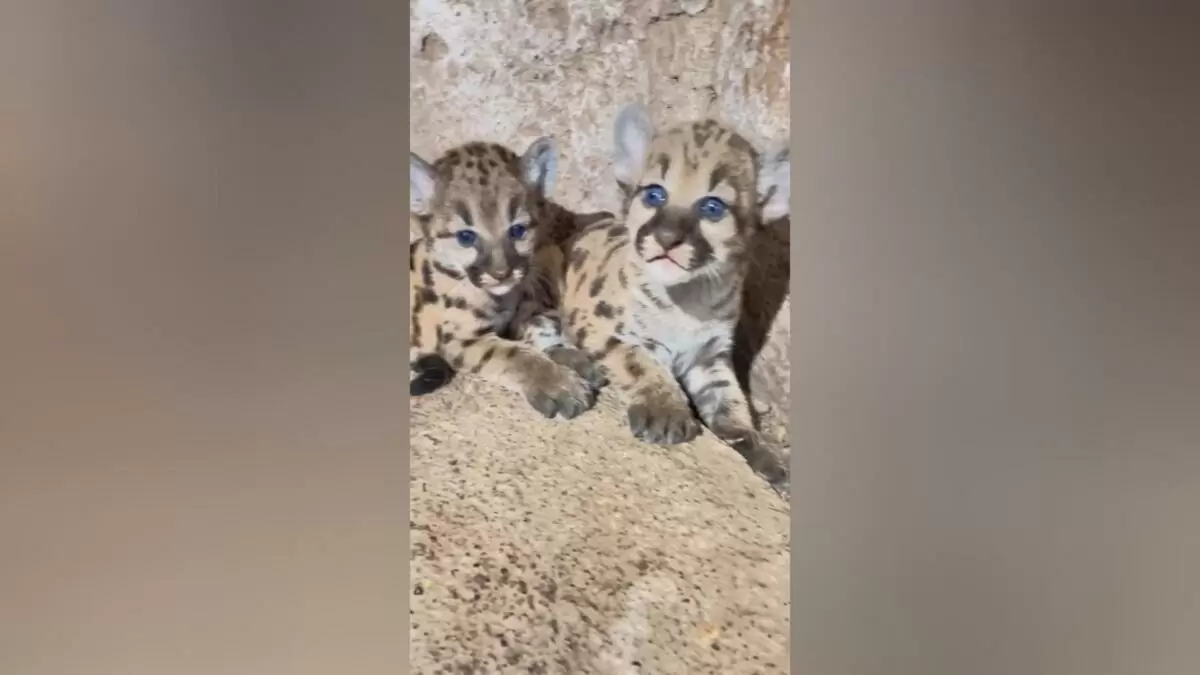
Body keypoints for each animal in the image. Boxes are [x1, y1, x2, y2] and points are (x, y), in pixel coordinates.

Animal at [409, 137, 610, 419]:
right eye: (466, 237)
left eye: (518, 230)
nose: (501, 273)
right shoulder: (463, 339)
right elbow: (514, 355)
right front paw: (558, 385)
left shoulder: (519, 312)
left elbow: (540, 325)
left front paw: (572, 357)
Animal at [558, 104, 792, 495]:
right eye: (655, 195)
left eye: (712, 207)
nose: (667, 238)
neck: (689, 300)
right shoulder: (598, 324)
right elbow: (639, 359)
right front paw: (666, 409)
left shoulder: (710, 356)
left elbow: (731, 401)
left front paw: (759, 451)